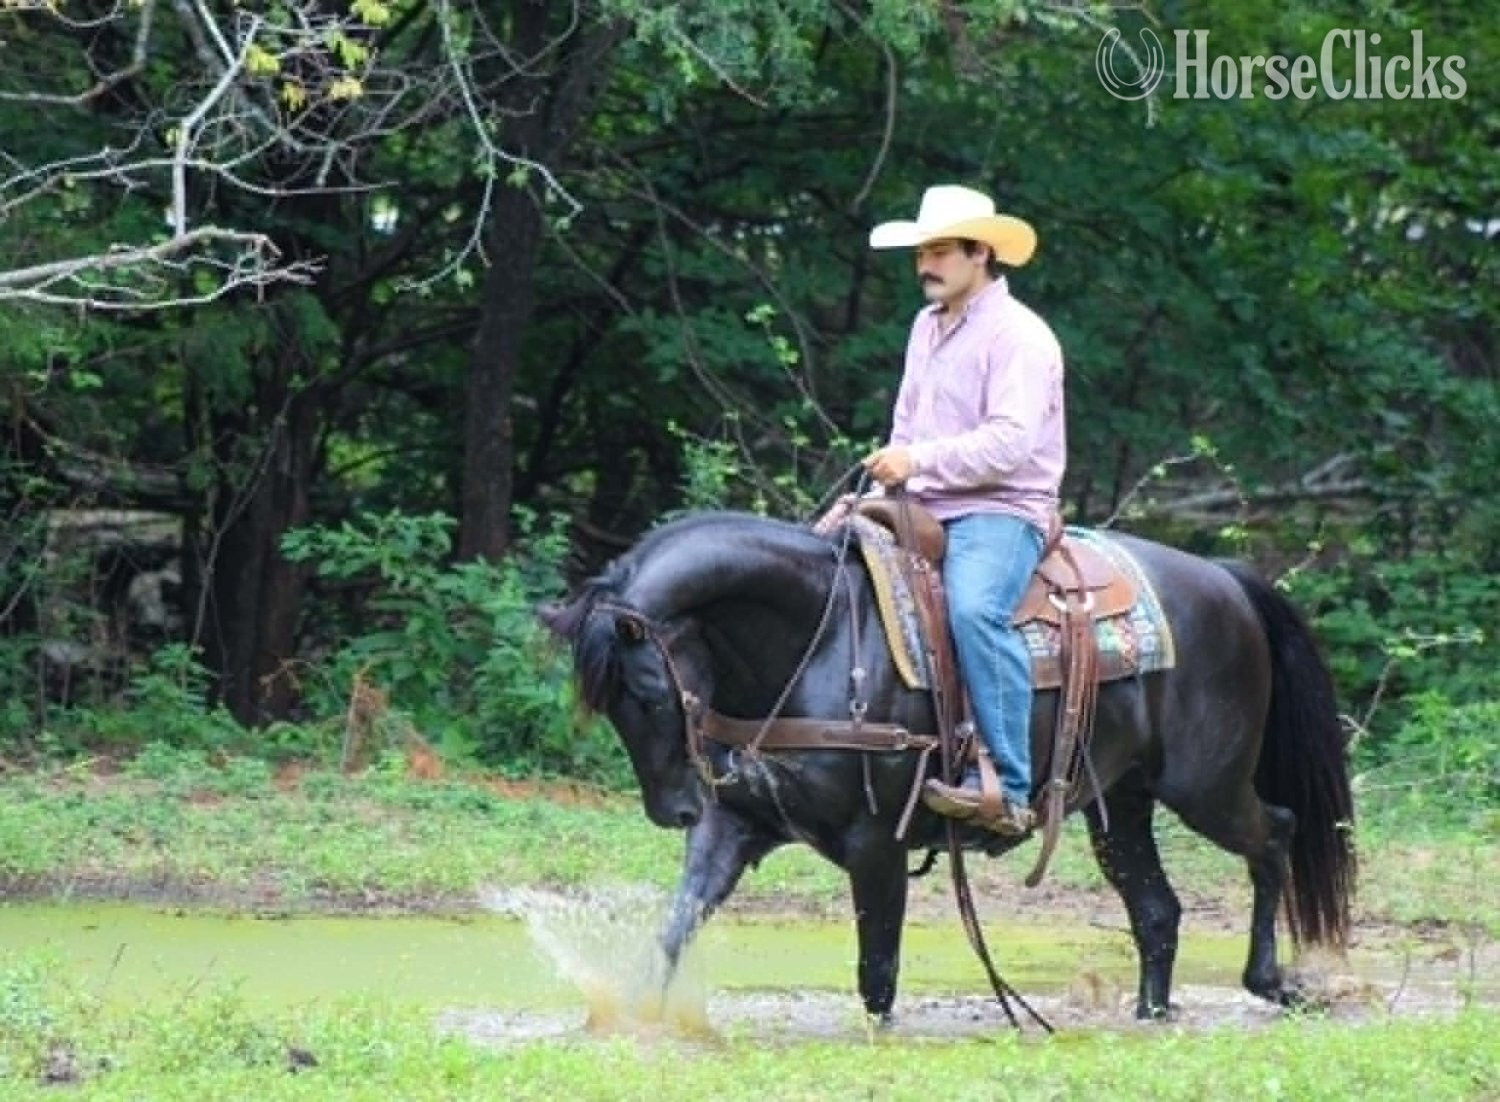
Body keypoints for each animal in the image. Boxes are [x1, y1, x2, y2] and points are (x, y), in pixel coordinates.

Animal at [539, 510, 1355, 1023]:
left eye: (650, 693)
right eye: (607, 708)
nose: (671, 809)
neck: (817, 639)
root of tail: (1223, 580)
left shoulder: (877, 843)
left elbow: (878, 974)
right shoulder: (734, 822)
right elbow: (676, 928)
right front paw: (640, 1019)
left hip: (1205, 787)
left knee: (1276, 834)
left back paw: (1271, 981)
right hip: (1121, 803)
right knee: (1158, 908)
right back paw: (1152, 1012)